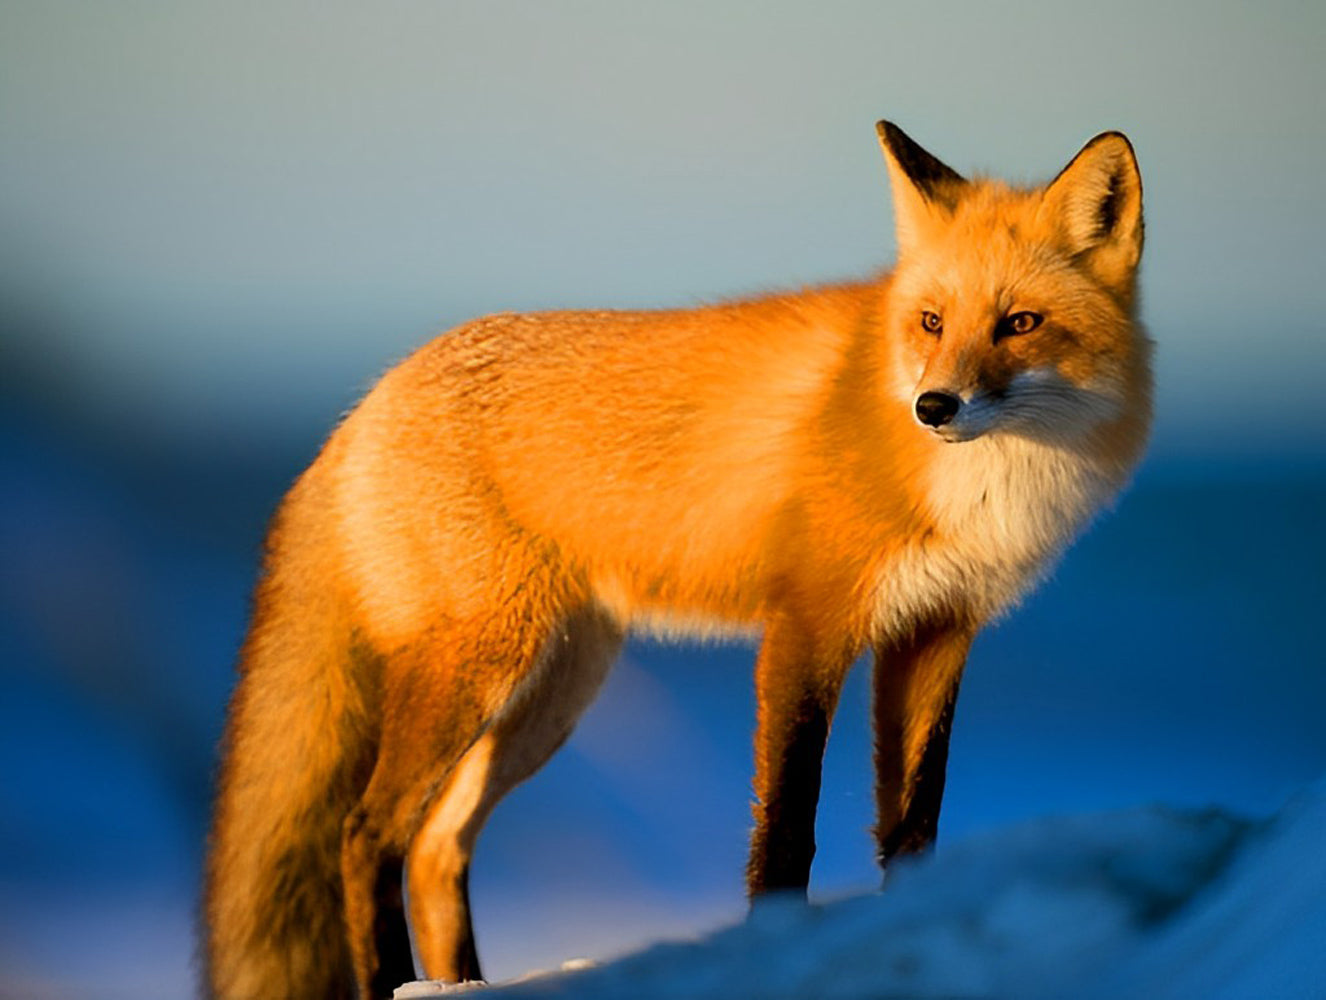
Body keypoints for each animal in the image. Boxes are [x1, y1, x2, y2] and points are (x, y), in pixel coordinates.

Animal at [203, 120, 1150, 999]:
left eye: (1020, 324)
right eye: (931, 322)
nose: (934, 406)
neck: (979, 490)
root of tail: (364, 406)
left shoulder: (936, 632)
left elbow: (914, 826)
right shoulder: (807, 626)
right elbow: (787, 829)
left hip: (551, 693)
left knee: (437, 848)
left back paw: (463, 984)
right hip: (479, 670)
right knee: (367, 835)